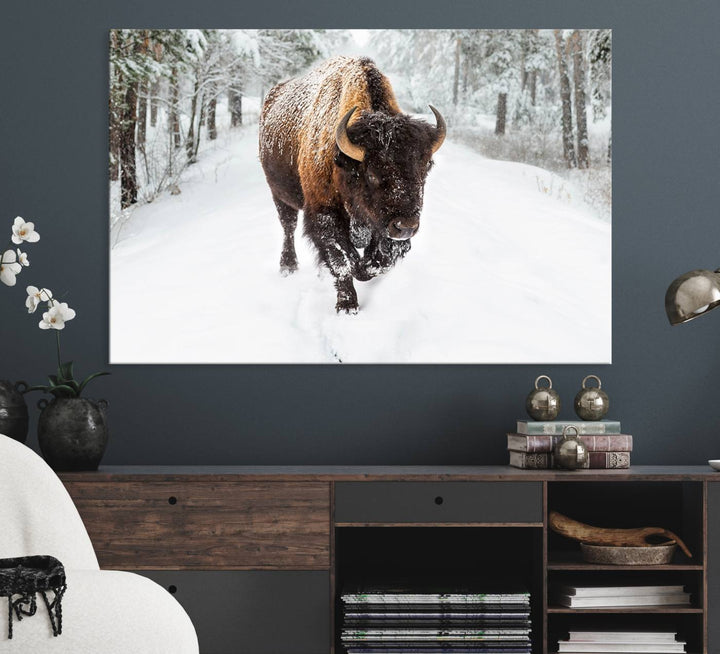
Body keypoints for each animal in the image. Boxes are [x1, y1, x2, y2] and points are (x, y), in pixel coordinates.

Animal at [258, 55, 444, 312]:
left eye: (425, 168)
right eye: (372, 174)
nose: (405, 227)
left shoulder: (381, 226)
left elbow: (379, 261)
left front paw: (364, 269)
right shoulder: (324, 214)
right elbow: (342, 261)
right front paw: (347, 306)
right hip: (279, 194)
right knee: (288, 226)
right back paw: (288, 266)